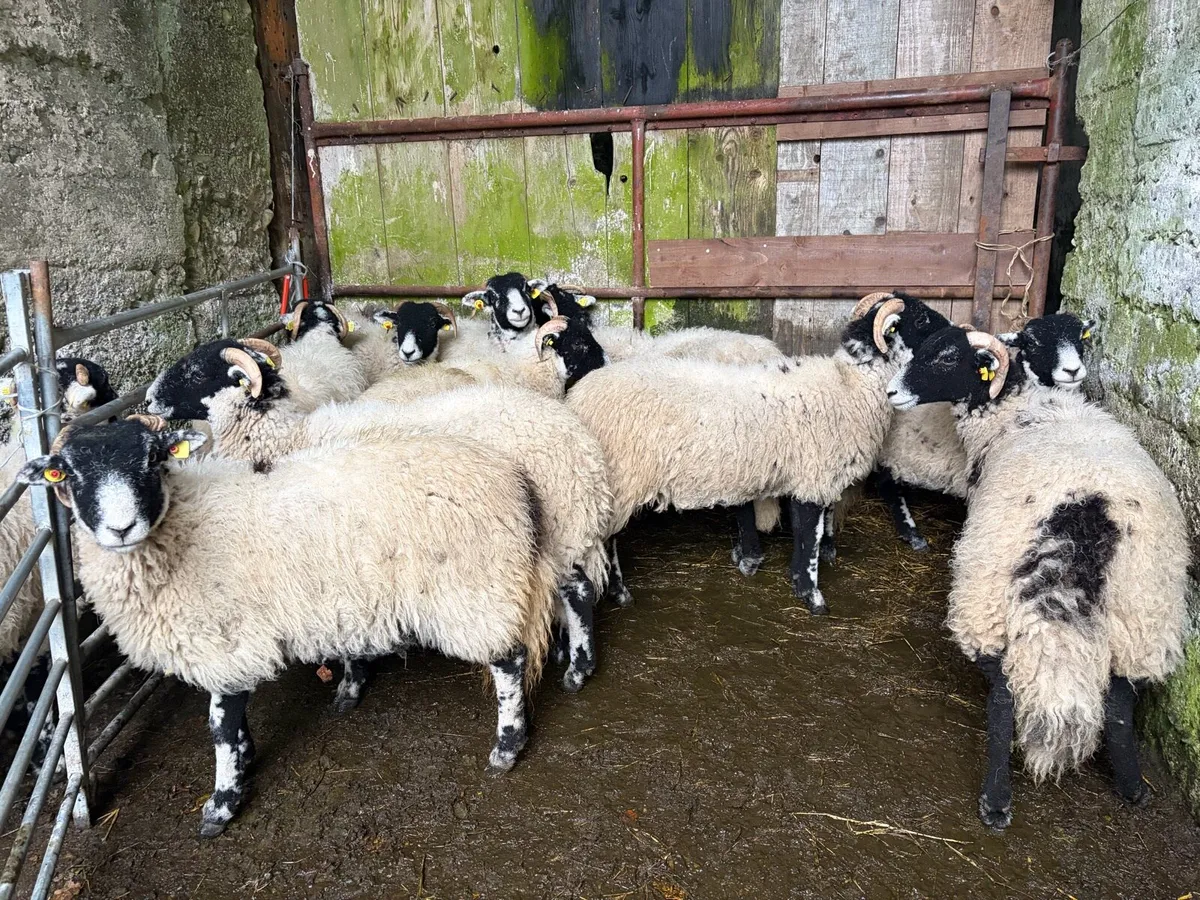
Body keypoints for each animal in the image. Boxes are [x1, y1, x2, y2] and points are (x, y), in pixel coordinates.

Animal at [19, 415, 558, 837]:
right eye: (68, 472)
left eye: (153, 460)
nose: (121, 528)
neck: (181, 531)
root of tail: (513, 477)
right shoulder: (231, 646)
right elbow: (232, 722)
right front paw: (244, 759)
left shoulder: (226, 640)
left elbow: (219, 726)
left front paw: (222, 803)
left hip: (474, 589)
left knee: (510, 661)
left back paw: (507, 746)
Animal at [566, 294, 948, 613]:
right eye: (921, 320)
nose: (952, 330)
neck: (848, 385)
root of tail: (580, 396)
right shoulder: (812, 477)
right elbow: (809, 539)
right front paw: (812, 596)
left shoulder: (811, 475)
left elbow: (812, 530)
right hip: (620, 480)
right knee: (608, 541)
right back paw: (619, 593)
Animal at [886, 325, 1188, 829]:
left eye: (946, 356)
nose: (891, 392)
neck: (1021, 403)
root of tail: (1085, 512)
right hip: (1144, 607)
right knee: (1120, 701)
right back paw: (1132, 789)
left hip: (986, 590)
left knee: (1005, 695)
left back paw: (996, 802)